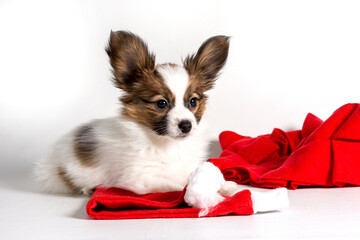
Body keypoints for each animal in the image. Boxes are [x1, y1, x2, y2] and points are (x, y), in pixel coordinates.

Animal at [34, 30, 231, 195]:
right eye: (161, 103)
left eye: (192, 102)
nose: (186, 125)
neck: (168, 145)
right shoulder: (139, 178)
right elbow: (177, 185)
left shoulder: (187, 166)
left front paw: (225, 186)